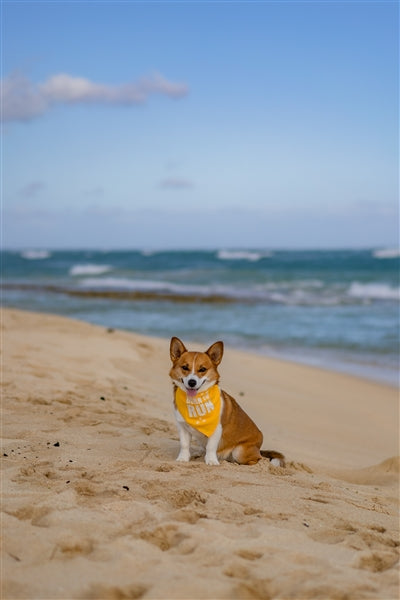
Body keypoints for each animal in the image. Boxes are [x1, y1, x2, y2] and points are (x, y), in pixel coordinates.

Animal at [169, 336, 284, 466]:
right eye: (185, 367)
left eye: (202, 369)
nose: (192, 382)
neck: (195, 402)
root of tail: (259, 448)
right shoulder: (182, 427)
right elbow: (184, 444)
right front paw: (183, 458)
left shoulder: (216, 429)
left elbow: (211, 446)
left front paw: (211, 461)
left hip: (239, 452)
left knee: (258, 459)